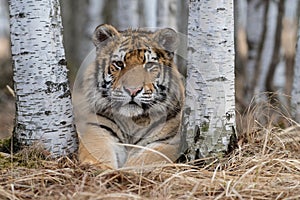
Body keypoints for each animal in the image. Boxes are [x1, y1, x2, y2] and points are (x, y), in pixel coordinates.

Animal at [73, 23, 185, 169]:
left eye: (149, 65)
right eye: (119, 64)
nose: (132, 90)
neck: (133, 121)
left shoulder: (169, 142)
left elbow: (144, 160)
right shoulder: (97, 130)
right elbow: (99, 155)